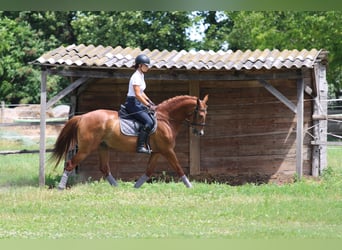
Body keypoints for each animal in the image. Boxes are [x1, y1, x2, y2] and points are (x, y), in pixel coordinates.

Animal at [50, 95, 208, 189]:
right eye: (201, 115)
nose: (199, 133)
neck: (166, 119)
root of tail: (82, 117)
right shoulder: (167, 151)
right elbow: (179, 168)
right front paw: (190, 186)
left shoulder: (157, 152)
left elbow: (149, 171)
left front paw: (136, 187)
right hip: (85, 149)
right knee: (70, 164)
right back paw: (61, 187)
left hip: (103, 147)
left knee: (104, 168)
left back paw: (117, 187)